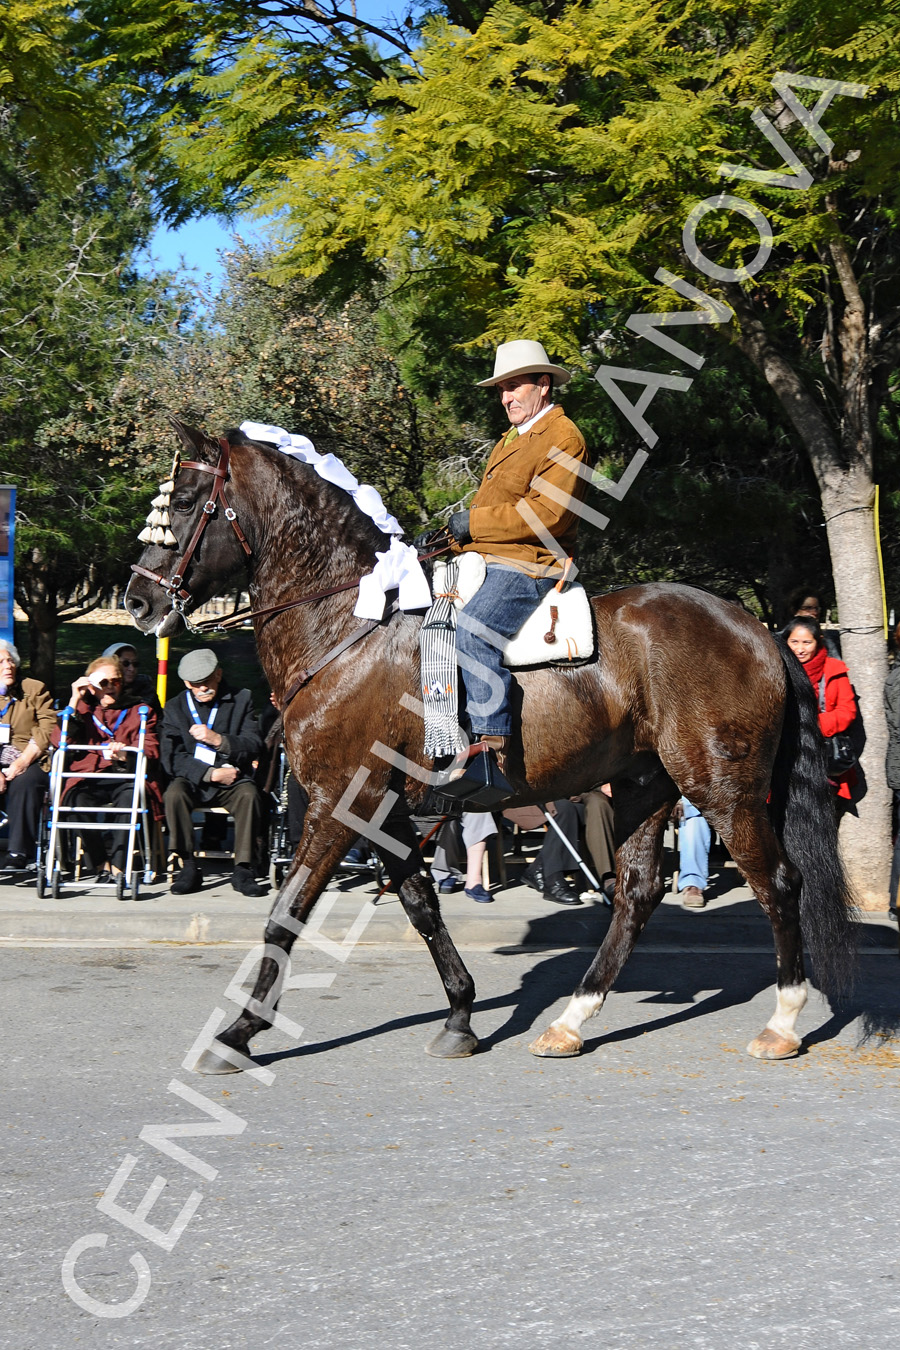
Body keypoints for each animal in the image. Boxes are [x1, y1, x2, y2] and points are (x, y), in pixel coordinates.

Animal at [124, 426, 852, 1069]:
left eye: (184, 504)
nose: (137, 602)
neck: (348, 626)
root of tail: (758, 629)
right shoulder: (382, 809)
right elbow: (420, 902)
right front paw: (459, 1015)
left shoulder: (338, 801)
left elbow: (287, 913)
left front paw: (238, 1033)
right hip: (646, 785)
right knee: (638, 893)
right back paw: (570, 1021)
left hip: (721, 787)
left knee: (777, 881)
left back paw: (782, 1023)